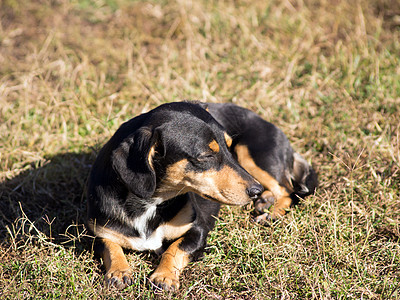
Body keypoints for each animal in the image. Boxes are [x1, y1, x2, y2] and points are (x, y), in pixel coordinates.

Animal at [86, 100, 318, 290]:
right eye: (206, 155)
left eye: (228, 147)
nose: (255, 191)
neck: (151, 202)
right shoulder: (98, 233)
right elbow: (111, 247)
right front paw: (119, 271)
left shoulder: (197, 232)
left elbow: (174, 249)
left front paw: (164, 276)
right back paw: (266, 201)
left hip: (252, 155)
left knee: (287, 191)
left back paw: (271, 212)